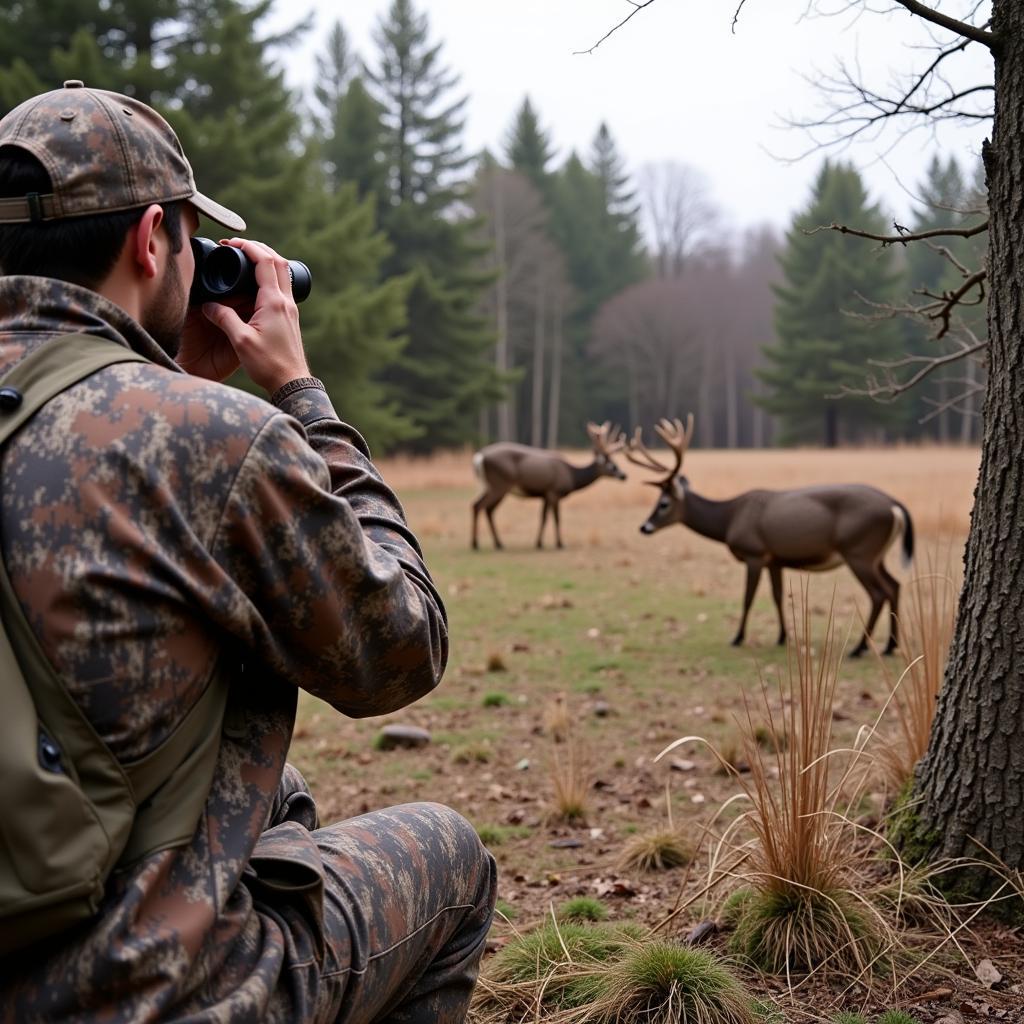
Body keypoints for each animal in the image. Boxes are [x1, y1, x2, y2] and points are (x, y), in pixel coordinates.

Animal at [468, 423, 626, 552]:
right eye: (611, 464)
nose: (624, 475)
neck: (571, 475)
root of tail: (479, 457)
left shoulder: (545, 495)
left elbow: (543, 517)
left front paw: (539, 543)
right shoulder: (554, 492)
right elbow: (556, 518)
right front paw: (560, 543)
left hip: (489, 486)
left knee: (481, 507)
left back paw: (496, 543)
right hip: (499, 484)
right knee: (482, 506)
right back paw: (478, 544)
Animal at [626, 415, 917, 655]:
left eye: (663, 503)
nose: (644, 527)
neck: (730, 519)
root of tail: (895, 505)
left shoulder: (754, 553)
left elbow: (748, 597)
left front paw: (737, 638)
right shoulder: (775, 559)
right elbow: (778, 597)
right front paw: (781, 637)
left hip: (858, 550)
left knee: (878, 593)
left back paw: (859, 648)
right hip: (875, 554)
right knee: (894, 585)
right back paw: (889, 646)